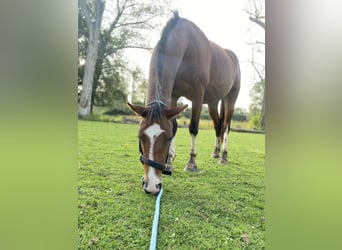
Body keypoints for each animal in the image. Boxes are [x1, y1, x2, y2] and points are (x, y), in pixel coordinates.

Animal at [128, 11, 240, 194]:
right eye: (140, 136)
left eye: (166, 138)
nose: (151, 186)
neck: (186, 46)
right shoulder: (173, 96)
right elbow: (174, 125)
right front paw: (169, 162)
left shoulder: (197, 96)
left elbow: (193, 128)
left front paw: (191, 163)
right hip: (213, 102)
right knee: (218, 125)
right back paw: (216, 152)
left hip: (230, 98)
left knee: (226, 127)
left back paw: (223, 155)